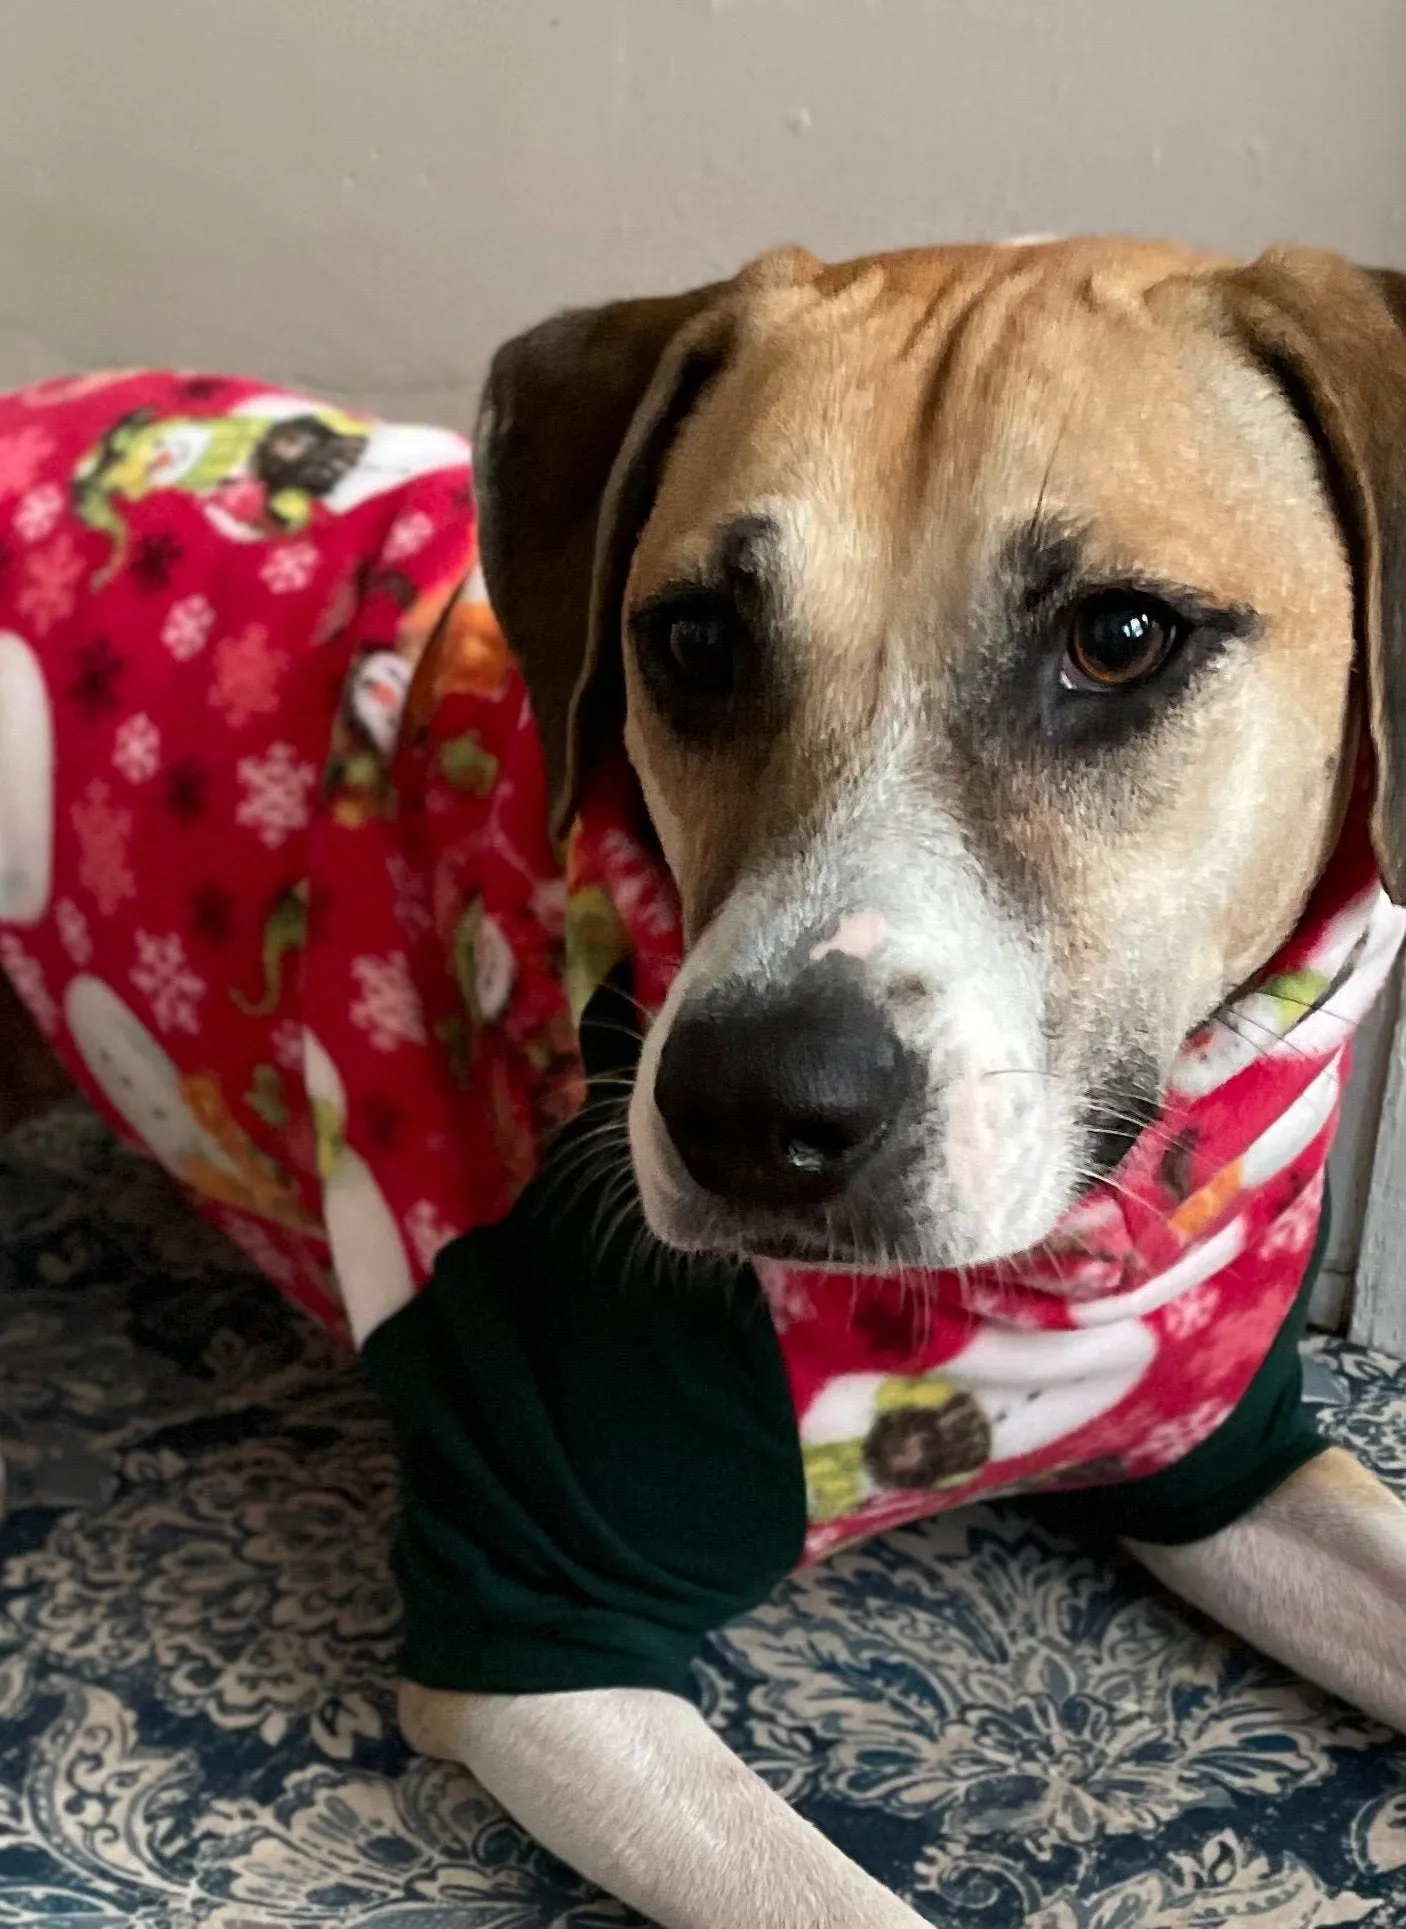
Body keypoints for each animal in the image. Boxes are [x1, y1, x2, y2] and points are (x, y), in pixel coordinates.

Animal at [2, 241, 1404, 1929]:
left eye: (1119, 639)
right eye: (693, 643)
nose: (745, 1113)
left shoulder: (1225, 1458)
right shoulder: (540, 1635)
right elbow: (840, 1901)